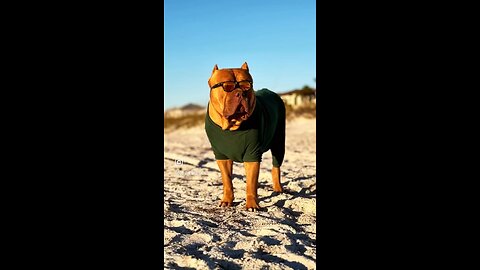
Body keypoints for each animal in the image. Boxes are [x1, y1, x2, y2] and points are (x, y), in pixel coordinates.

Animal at [205, 62, 284, 212]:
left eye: (246, 85)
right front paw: (227, 200)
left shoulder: (252, 154)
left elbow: (251, 183)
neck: (232, 126)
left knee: (276, 166)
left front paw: (252, 204)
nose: (240, 93)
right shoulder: (221, 156)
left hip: (279, 142)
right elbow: (227, 180)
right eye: (227, 86)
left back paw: (278, 188)